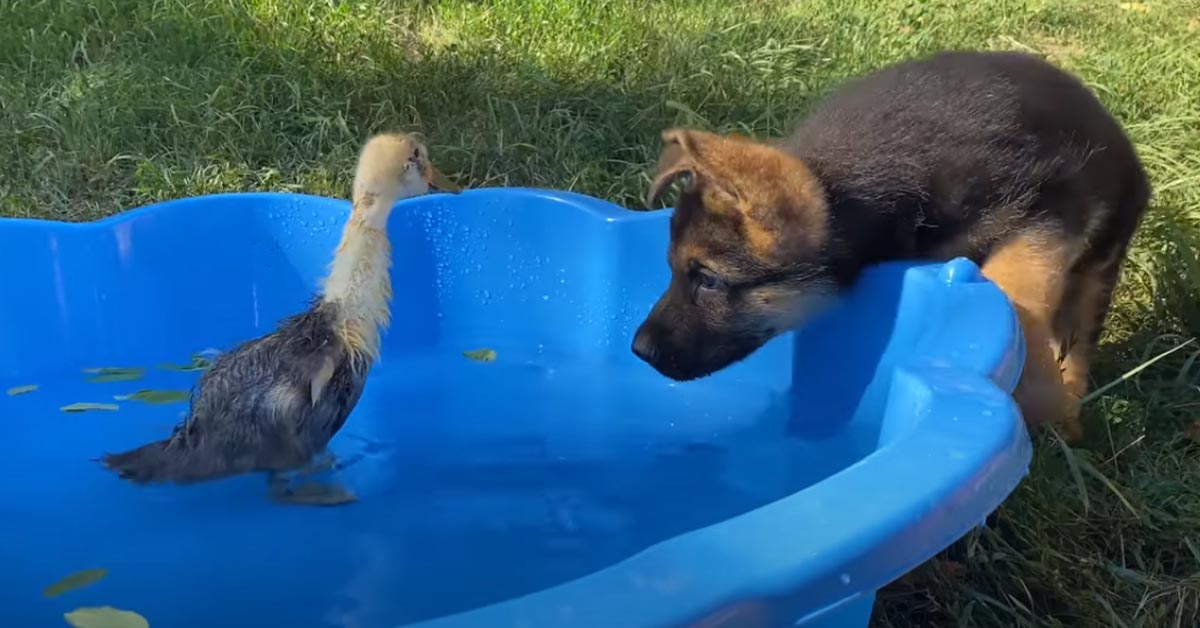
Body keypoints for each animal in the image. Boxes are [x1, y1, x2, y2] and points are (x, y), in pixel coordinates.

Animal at [633, 50, 1147, 441]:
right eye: (672, 269)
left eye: (709, 279)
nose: (638, 350)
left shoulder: (1053, 209)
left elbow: (1018, 283)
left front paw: (1040, 394)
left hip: (1103, 255)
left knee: (1079, 338)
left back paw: (1069, 418)